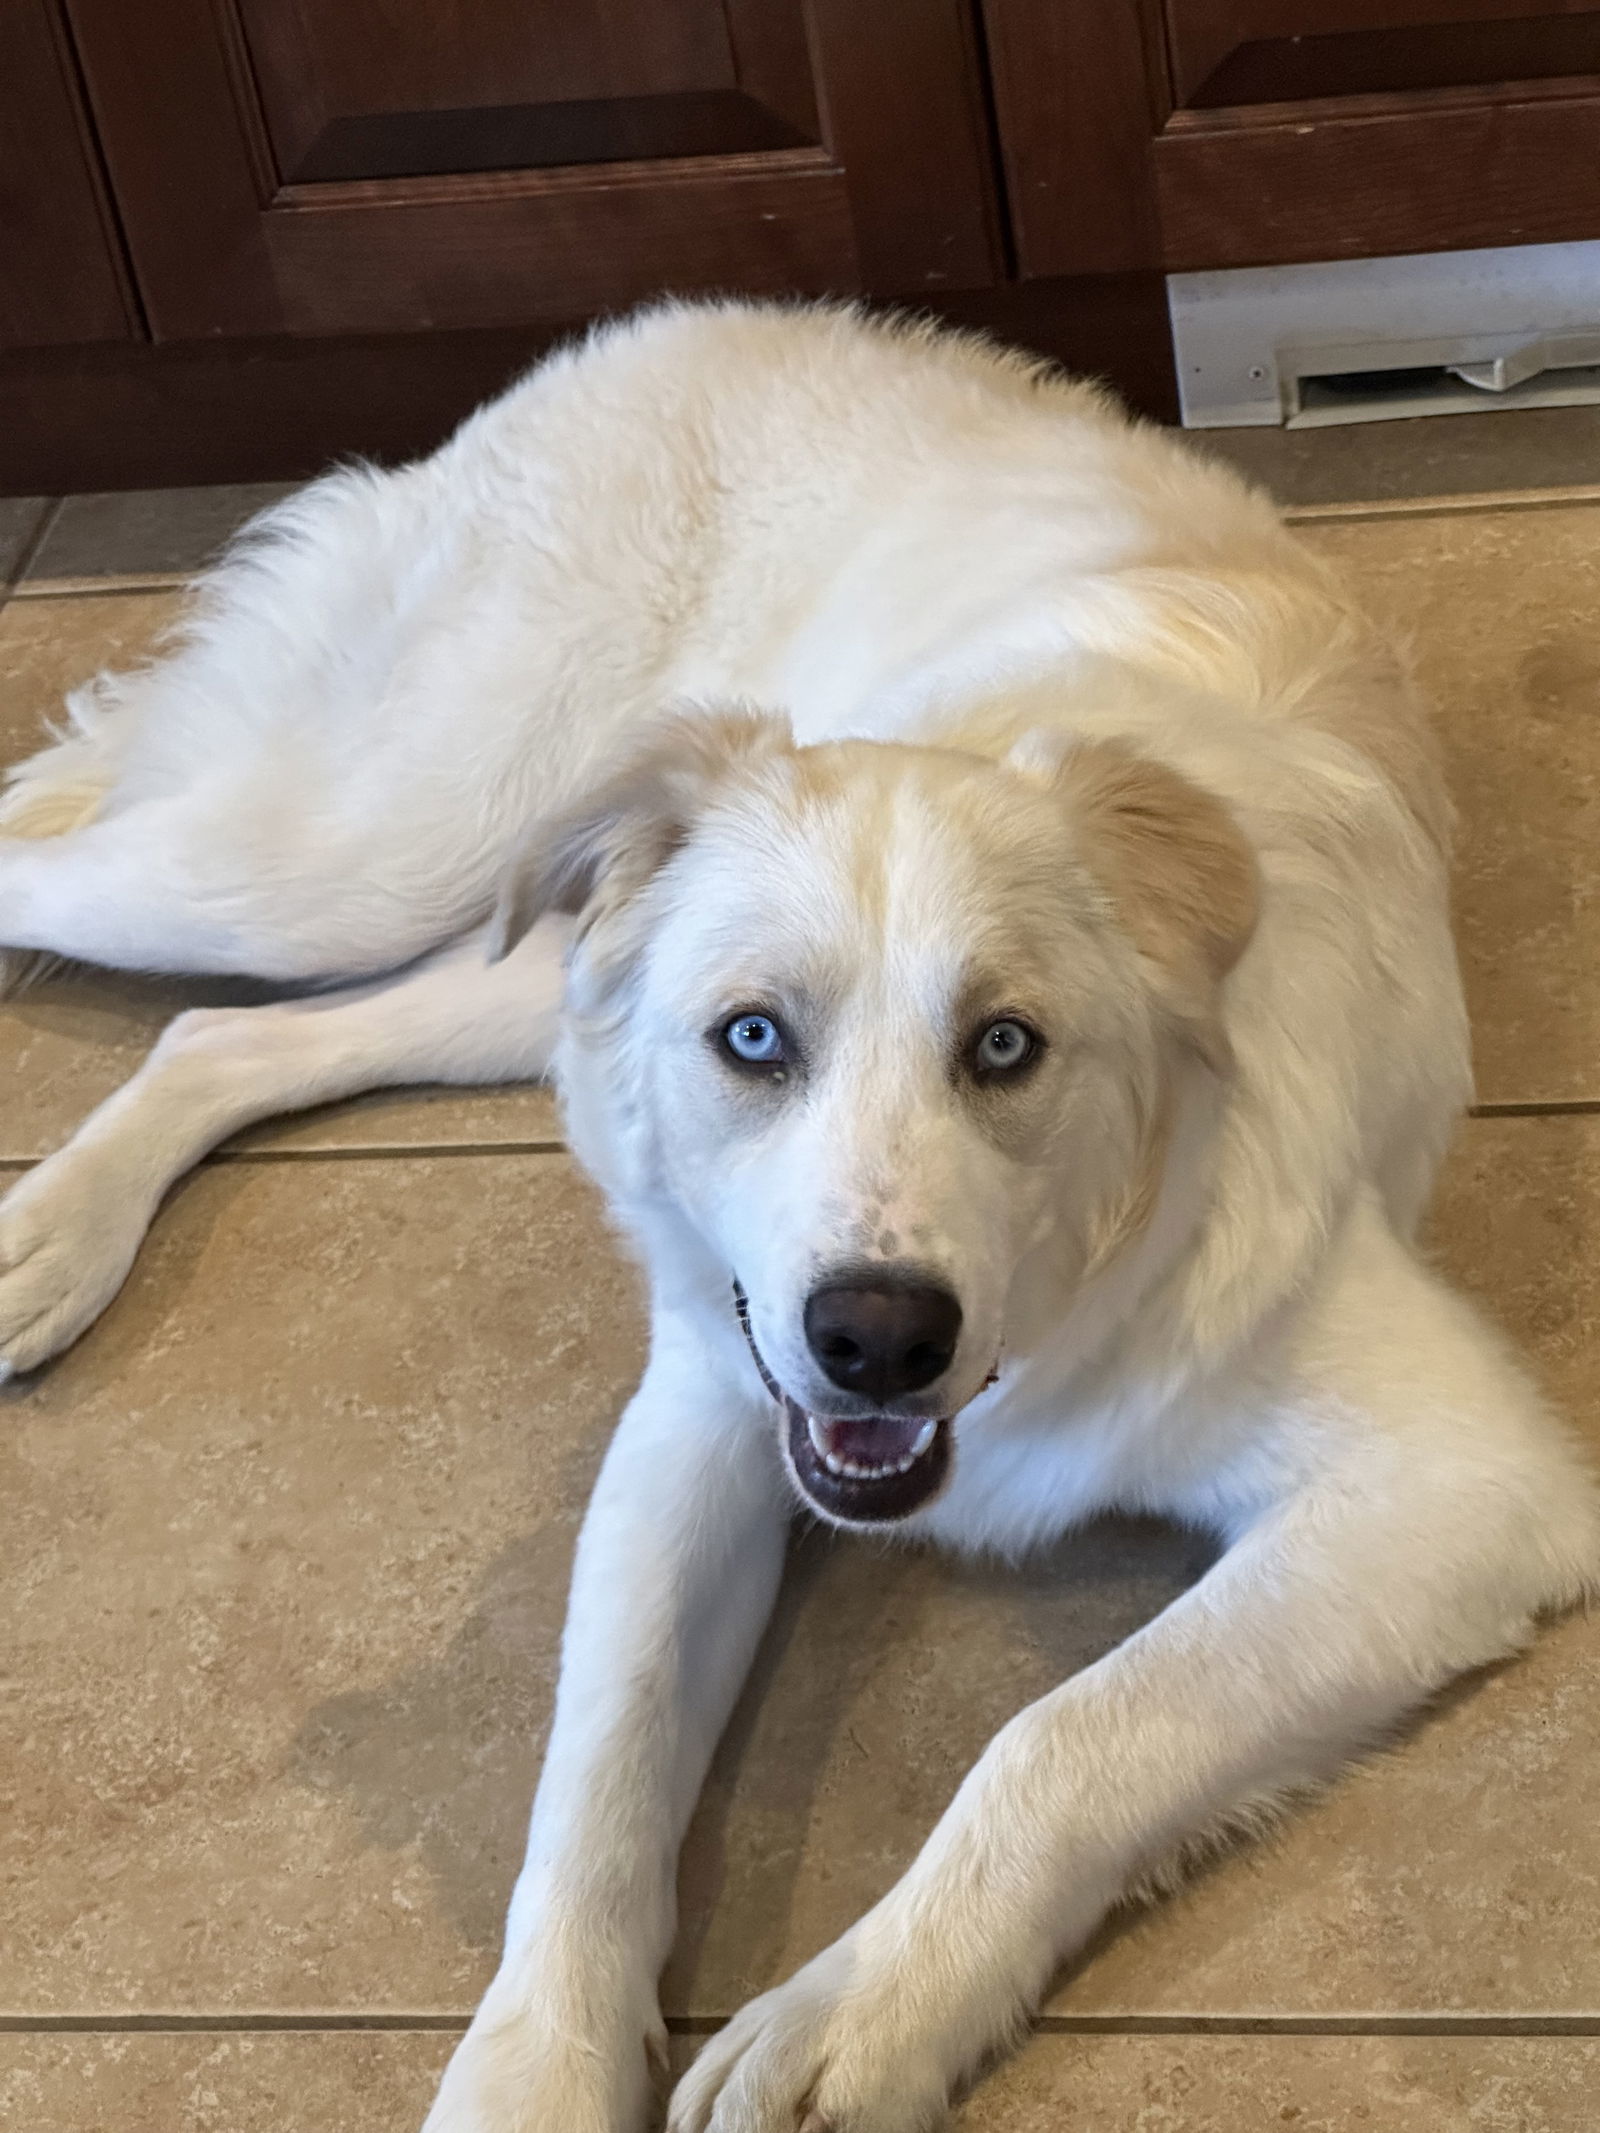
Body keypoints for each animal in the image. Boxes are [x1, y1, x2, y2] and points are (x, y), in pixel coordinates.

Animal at [3, 305, 1600, 2133]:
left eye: (1006, 1045)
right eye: (755, 1037)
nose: (878, 1341)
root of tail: (683, 320)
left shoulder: (1456, 1491)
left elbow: (1064, 1735)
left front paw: (857, 2017)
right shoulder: (708, 1400)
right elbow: (600, 1771)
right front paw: (536, 2070)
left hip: (500, 948)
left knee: (226, 1032)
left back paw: (46, 1239)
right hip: (358, 856)